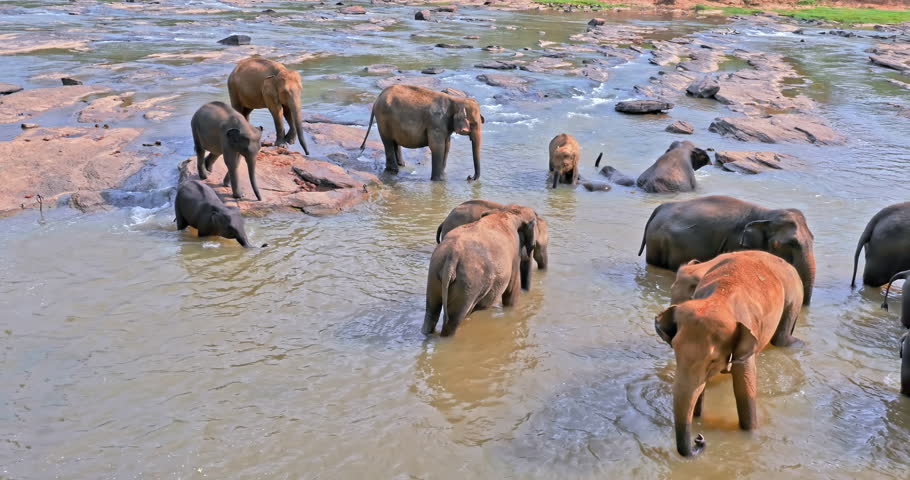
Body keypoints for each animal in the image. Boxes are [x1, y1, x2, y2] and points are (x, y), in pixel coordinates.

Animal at [423, 206, 539, 337]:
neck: (508, 212)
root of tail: (451, 257)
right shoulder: (514, 255)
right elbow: (511, 291)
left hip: (435, 272)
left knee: (431, 311)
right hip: (469, 283)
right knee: (453, 320)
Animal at [640, 195, 816, 305]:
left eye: (813, 238)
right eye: (791, 243)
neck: (767, 213)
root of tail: (659, 208)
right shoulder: (737, 244)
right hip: (657, 244)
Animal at [655, 251, 804, 457]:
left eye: (713, 360)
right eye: (675, 350)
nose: (699, 438)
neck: (719, 299)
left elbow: (744, 386)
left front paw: (750, 434)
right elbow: (699, 386)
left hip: (794, 295)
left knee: (781, 338)